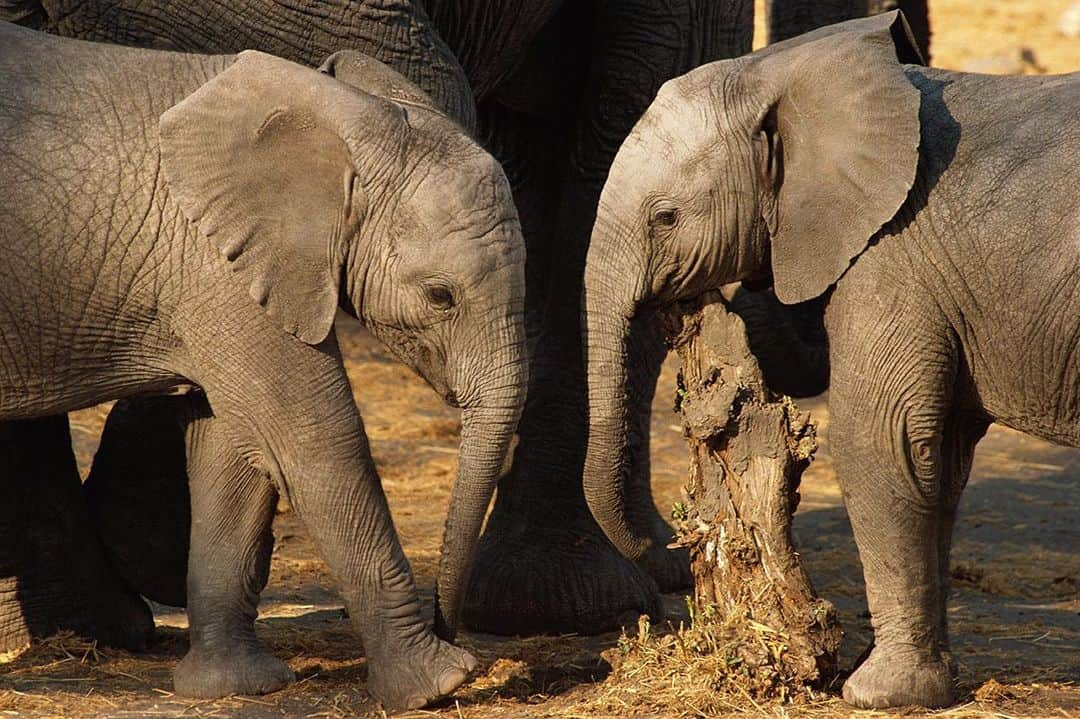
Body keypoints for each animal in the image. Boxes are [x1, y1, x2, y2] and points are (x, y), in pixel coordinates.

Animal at [0, 21, 522, 703]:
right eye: (441, 297)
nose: (450, 626)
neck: (343, 122)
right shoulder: (213, 265)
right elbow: (310, 435)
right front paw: (437, 685)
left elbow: (236, 448)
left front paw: (233, 686)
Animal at [583, 14, 1080, 708]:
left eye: (666, 217)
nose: (673, 546)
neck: (786, 69)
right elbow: (941, 459)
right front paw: (924, 684)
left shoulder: (891, 253)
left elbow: (883, 440)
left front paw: (874, 694)